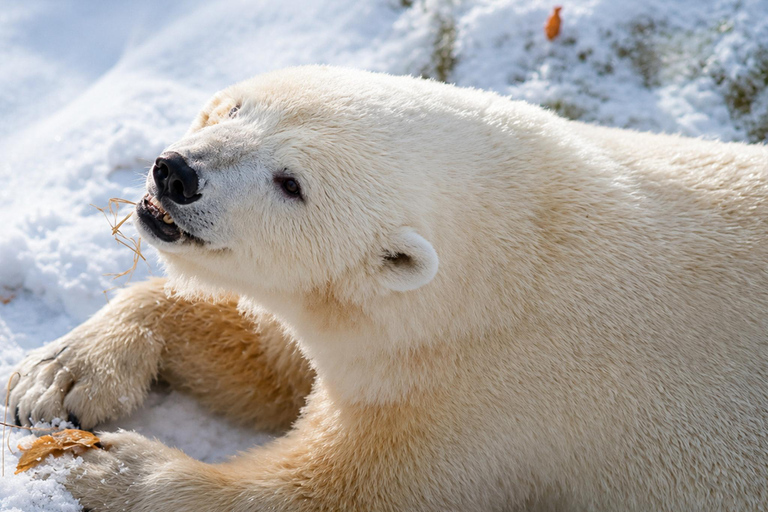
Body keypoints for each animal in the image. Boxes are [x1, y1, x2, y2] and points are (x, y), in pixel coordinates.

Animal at [8, 66, 768, 511]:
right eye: (236, 108)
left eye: (291, 182)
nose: (176, 174)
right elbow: (267, 359)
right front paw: (57, 377)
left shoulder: (486, 410)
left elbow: (331, 490)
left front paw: (105, 466)